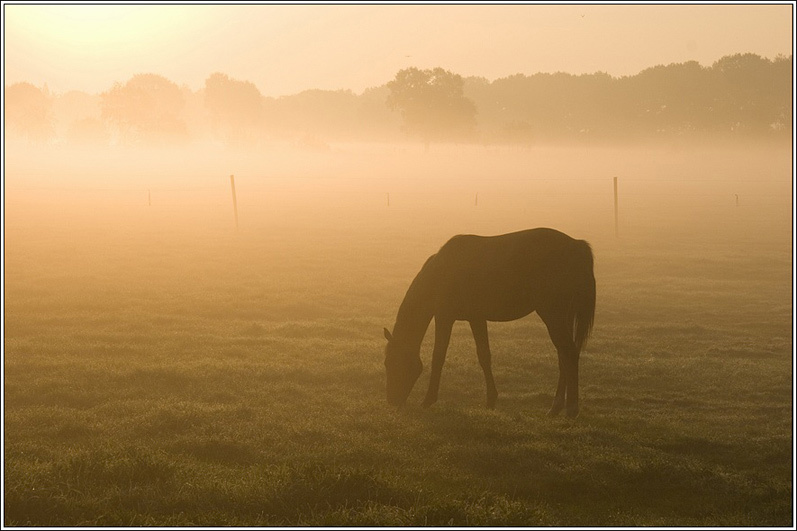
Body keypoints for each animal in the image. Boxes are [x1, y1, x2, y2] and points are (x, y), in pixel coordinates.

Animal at [383, 227, 595, 418]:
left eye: (390, 362)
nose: (392, 401)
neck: (440, 272)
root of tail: (577, 245)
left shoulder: (444, 317)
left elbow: (438, 356)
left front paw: (428, 400)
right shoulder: (476, 318)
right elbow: (484, 356)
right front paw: (491, 399)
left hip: (553, 315)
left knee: (569, 353)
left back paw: (571, 409)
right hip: (563, 316)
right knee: (563, 357)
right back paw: (556, 408)